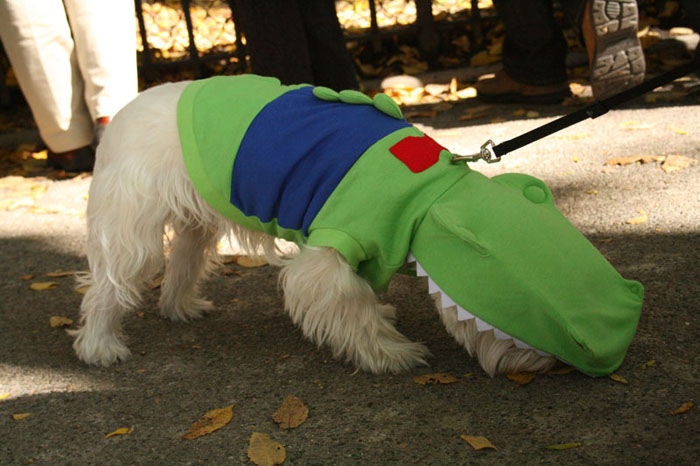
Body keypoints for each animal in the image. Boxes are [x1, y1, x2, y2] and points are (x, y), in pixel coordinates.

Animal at [69, 79, 600, 374]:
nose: (548, 365)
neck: (426, 196)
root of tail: (120, 115)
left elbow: (365, 296)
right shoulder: (329, 255)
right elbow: (352, 307)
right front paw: (391, 353)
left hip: (196, 220)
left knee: (183, 261)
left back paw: (180, 307)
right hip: (131, 230)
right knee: (107, 286)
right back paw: (100, 346)